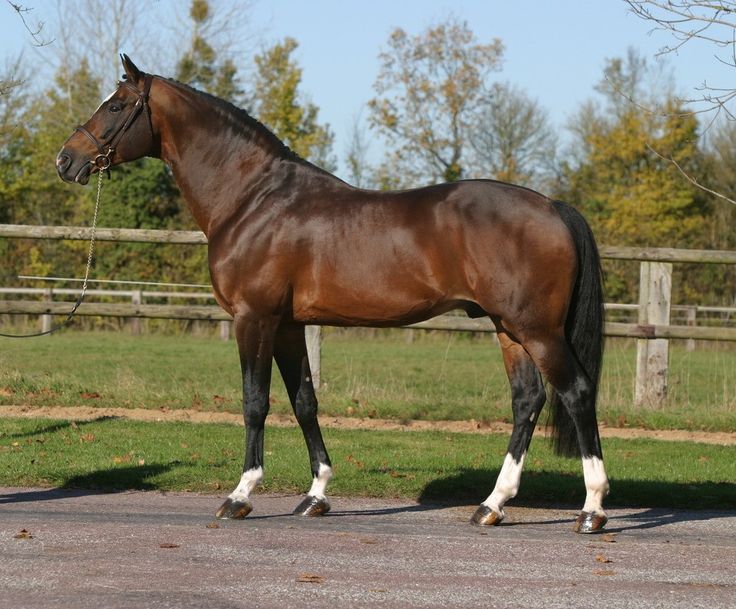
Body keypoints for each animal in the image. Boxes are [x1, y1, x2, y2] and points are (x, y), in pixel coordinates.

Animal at [56, 55, 608, 532]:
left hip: (537, 330)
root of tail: (553, 207)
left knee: (577, 392)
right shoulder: (287, 325)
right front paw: (316, 495)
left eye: (116, 106)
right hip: (509, 329)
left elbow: (254, 402)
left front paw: (240, 495)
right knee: (527, 401)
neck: (253, 199)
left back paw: (592, 510)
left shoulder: (253, 318)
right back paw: (492, 505)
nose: (66, 160)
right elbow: (304, 401)